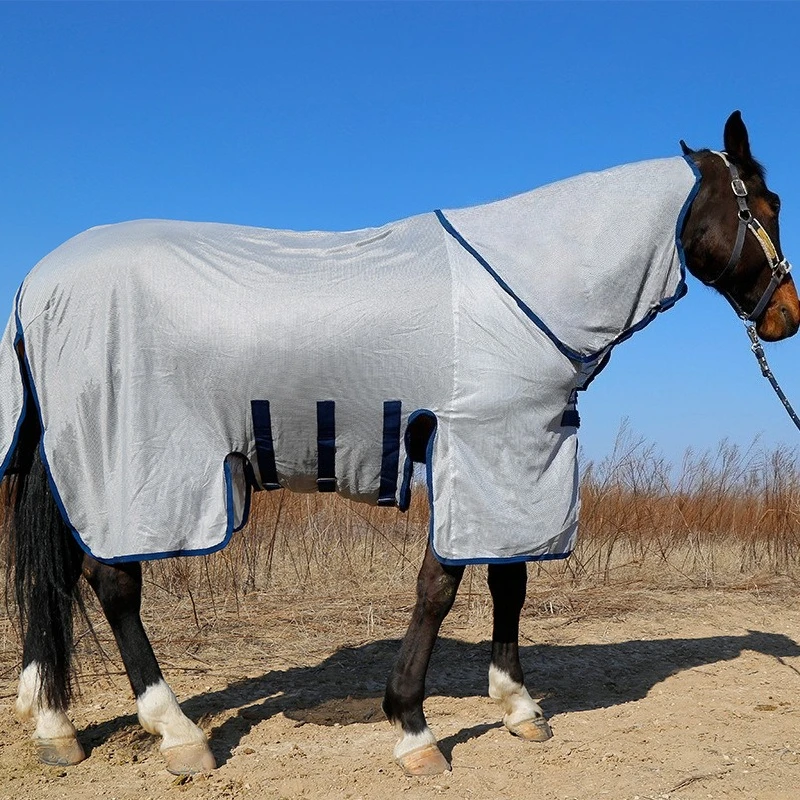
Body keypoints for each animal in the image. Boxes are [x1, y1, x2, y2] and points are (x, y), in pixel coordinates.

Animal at [2, 111, 798, 777]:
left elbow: (509, 580)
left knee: (58, 575)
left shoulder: (514, 458)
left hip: (85, 461)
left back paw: (53, 722)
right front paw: (413, 727)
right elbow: (441, 587)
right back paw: (177, 732)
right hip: (132, 464)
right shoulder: (483, 445)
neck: (526, 286)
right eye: (766, 207)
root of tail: (37, 285)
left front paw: (517, 706)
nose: (786, 317)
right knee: (112, 584)